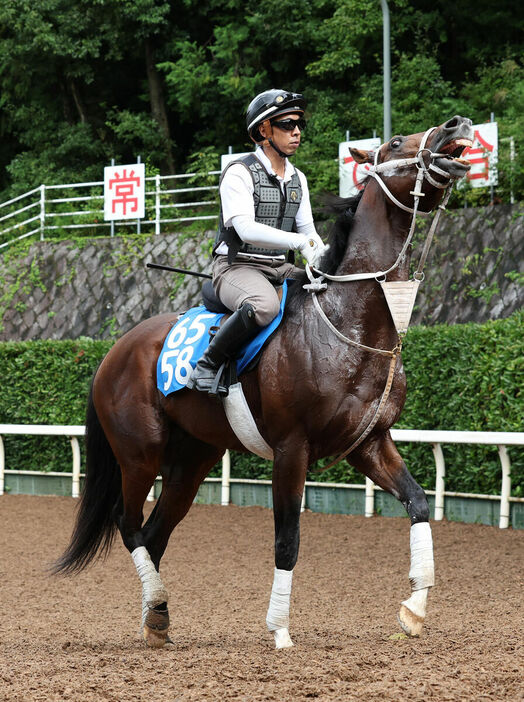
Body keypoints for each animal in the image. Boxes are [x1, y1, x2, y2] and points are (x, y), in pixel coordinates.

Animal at [54, 115, 474, 648]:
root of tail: (114, 351)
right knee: (128, 525)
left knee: (154, 534)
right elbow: (287, 540)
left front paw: (415, 608)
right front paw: (280, 631)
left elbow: (419, 503)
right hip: (139, 454)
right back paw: (155, 606)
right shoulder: (292, 449)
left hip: (191, 461)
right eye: (397, 142)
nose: (455, 126)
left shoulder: (369, 442)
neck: (349, 325)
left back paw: (157, 617)